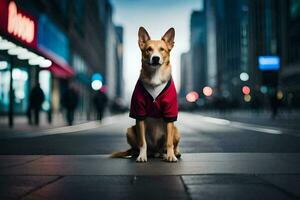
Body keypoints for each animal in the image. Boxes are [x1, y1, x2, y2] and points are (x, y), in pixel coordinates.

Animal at [110, 26, 179, 162]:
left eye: (162, 49)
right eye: (149, 49)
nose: (155, 58)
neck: (155, 76)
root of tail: (155, 151)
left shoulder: (170, 113)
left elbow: (169, 142)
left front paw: (171, 155)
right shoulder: (139, 113)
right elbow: (142, 142)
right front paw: (142, 156)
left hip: (176, 130)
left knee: (170, 145)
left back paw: (170, 153)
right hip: (130, 131)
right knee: (137, 147)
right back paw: (137, 153)